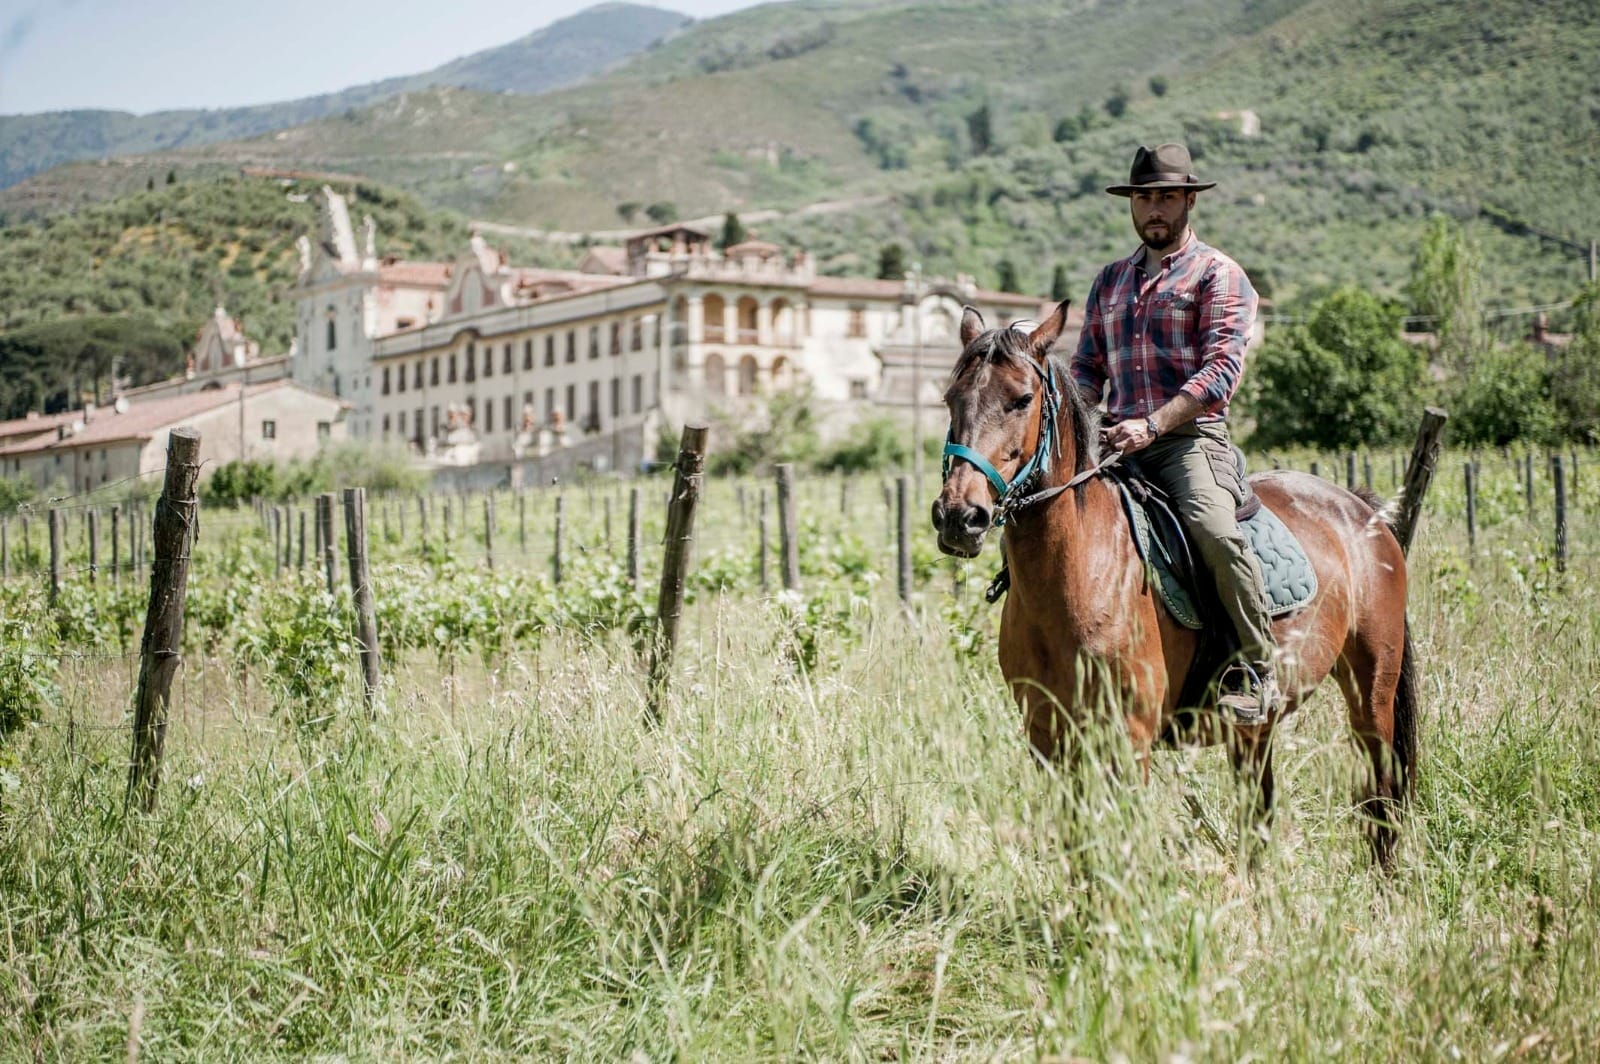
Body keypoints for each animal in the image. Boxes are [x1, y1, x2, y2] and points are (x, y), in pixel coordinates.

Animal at [934, 299, 1420, 864]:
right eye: (951, 398)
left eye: (1022, 400)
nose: (958, 516)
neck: (1079, 574)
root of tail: (1363, 511)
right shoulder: (1050, 740)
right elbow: (1080, 852)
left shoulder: (1128, 741)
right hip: (1253, 731)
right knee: (1259, 814)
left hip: (1372, 692)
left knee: (1379, 800)